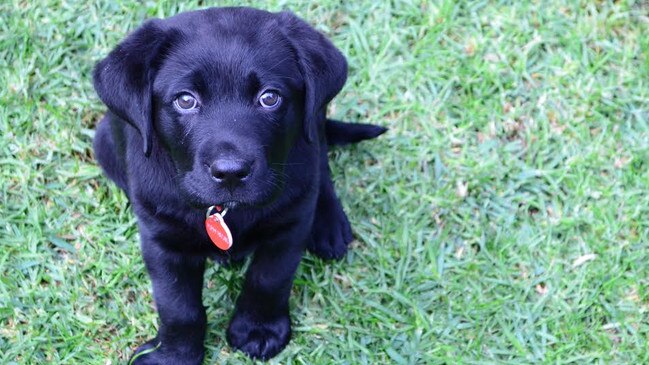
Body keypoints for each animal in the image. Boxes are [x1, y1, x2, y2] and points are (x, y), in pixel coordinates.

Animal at [92, 6, 384, 364]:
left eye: (269, 98)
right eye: (185, 100)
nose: (231, 172)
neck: (227, 212)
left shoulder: (290, 224)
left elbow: (269, 280)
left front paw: (259, 330)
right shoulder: (162, 240)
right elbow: (178, 306)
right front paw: (174, 355)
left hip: (312, 128)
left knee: (322, 159)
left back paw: (329, 224)